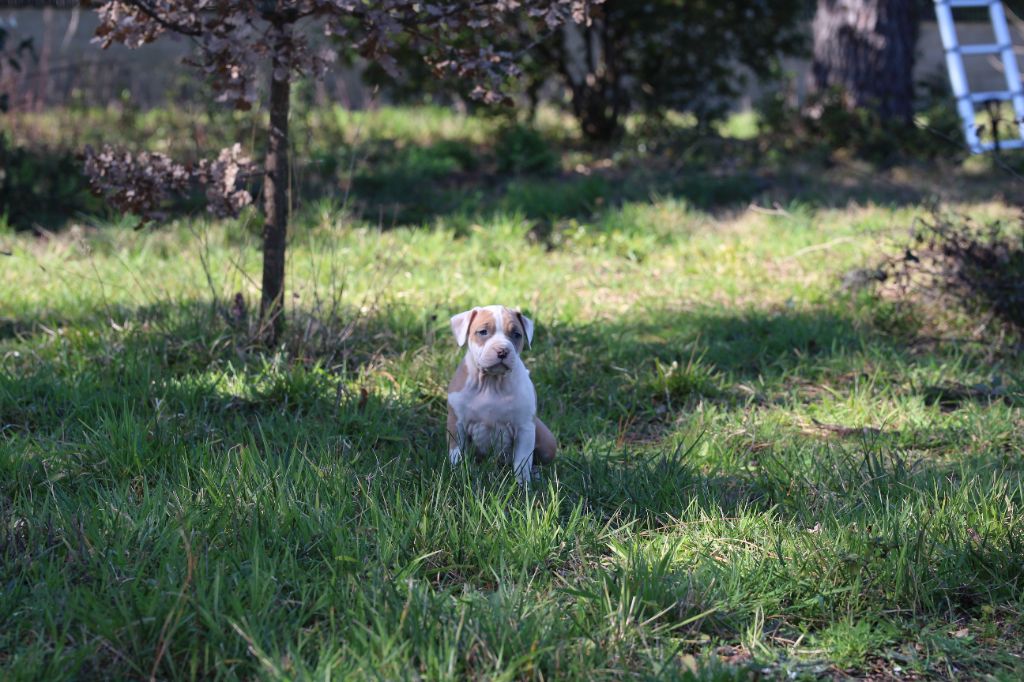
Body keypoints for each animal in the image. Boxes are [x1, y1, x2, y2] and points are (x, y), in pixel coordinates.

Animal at [444, 303, 557, 483]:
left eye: (516, 334)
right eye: (483, 332)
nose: (502, 351)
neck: (491, 382)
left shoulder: (524, 428)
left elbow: (522, 461)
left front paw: (523, 485)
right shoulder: (456, 422)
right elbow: (456, 452)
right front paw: (456, 473)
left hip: (548, 442)